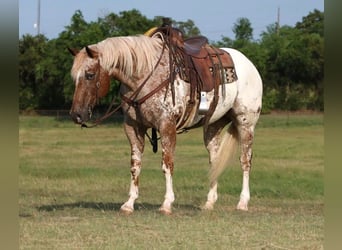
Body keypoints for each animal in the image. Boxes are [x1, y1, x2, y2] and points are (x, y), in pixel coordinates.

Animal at [69, 29, 262, 215]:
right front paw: (129, 203)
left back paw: (242, 202)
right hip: (213, 126)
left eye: (90, 75)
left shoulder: (166, 125)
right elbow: (135, 165)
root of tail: (249, 64)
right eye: (74, 77)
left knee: (245, 160)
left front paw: (167, 204)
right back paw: (209, 203)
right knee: (214, 161)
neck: (145, 75)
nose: (76, 114)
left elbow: (167, 164)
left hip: (246, 124)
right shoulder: (133, 127)